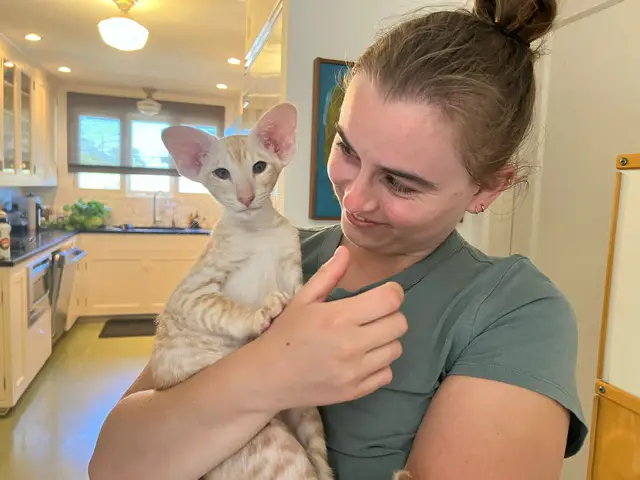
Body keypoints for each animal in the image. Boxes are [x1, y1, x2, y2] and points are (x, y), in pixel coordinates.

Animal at [148, 102, 332, 480]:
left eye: (259, 167)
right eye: (221, 173)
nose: (246, 197)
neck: (258, 231)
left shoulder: (292, 270)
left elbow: (298, 291)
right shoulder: (189, 295)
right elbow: (222, 307)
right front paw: (261, 313)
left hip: (306, 413)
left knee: (319, 457)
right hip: (272, 441)